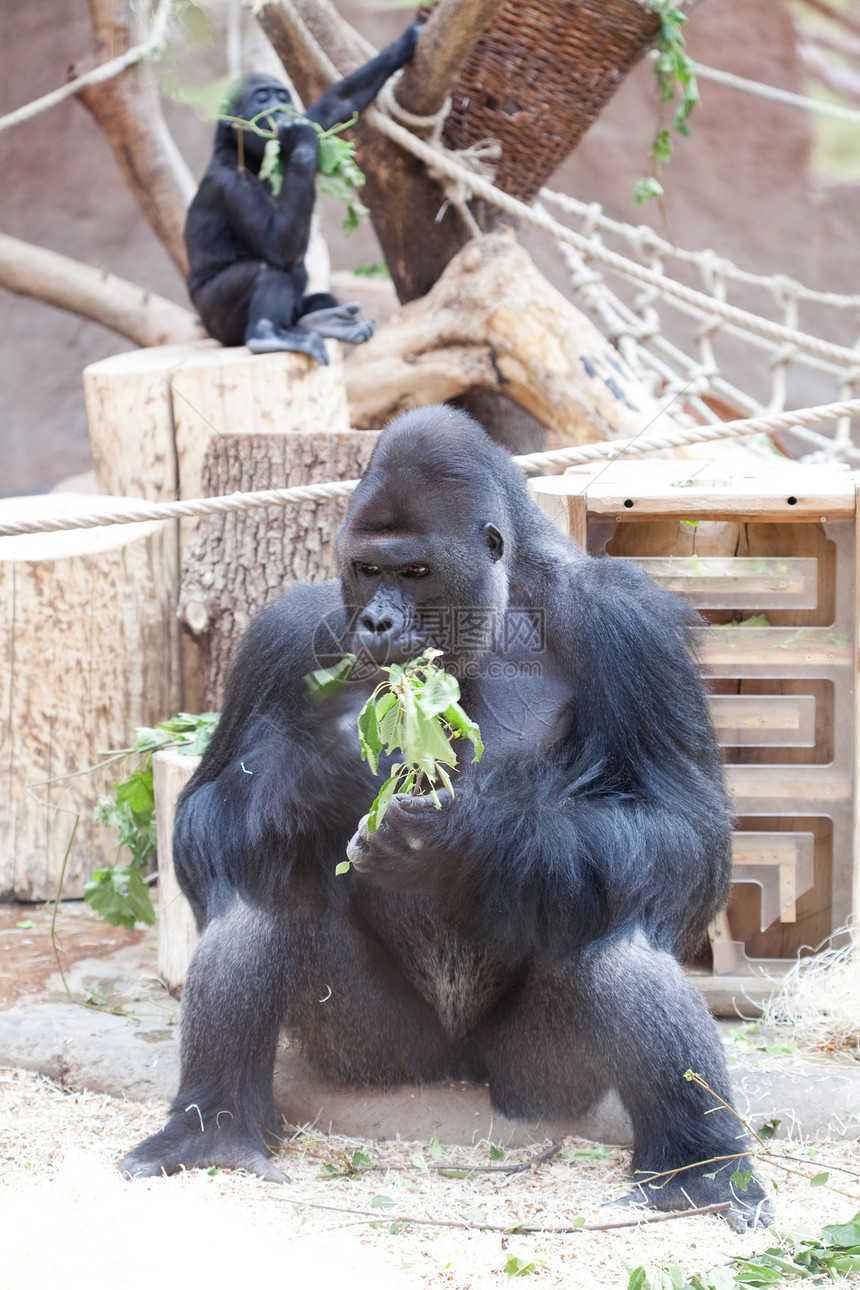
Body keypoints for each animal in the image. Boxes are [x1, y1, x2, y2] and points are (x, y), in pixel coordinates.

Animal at [121, 410, 773, 1228]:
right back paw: (209, 1127)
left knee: (613, 927)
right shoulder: (286, 632)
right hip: (380, 1058)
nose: (376, 621)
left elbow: (684, 830)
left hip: (535, 1081)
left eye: (415, 573)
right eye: (367, 570)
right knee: (260, 888)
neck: (505, 598)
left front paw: (460, 844)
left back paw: (702, 1168)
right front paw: (317, 766)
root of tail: (457, 1071)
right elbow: (205, 814)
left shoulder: (631, 622)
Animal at [185, 26, 422, 368]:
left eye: (282, 96)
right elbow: (277, 247)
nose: (280, 107)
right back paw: (265, 334)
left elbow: (333, 105)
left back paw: (325, 321)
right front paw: (302, 139)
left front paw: (403, 44)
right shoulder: (230, 184)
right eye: (263, 97)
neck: (247, 157)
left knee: (312, 297)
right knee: (273, 267)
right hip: (218, 322)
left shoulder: (312, 119)